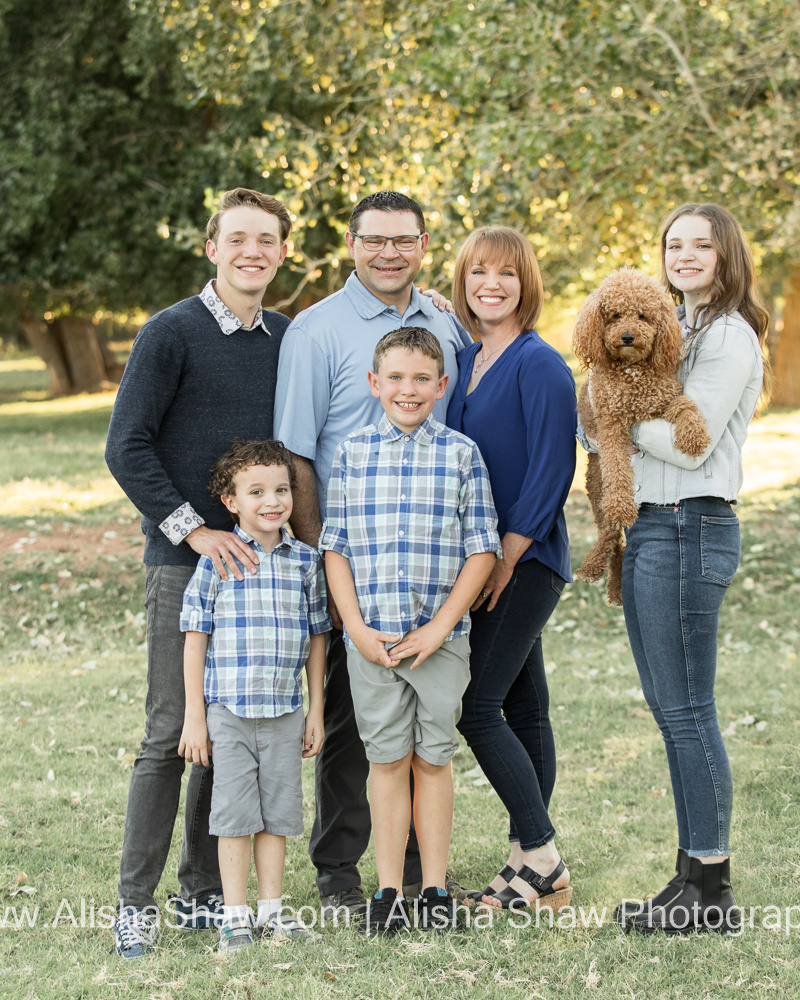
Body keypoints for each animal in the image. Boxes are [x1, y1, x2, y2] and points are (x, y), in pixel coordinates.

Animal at [572, 266, 708, 604]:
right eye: (615, 315)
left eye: (644, 316)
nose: (628, 337)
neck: (633, 372)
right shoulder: (610, 427)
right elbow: (619, 468)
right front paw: (624, 504)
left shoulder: (665, 399)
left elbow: (686, 405)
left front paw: (694, 435)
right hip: (598, 486)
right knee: (611, 532)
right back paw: (592, 568)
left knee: (615, 539)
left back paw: (616, 588)